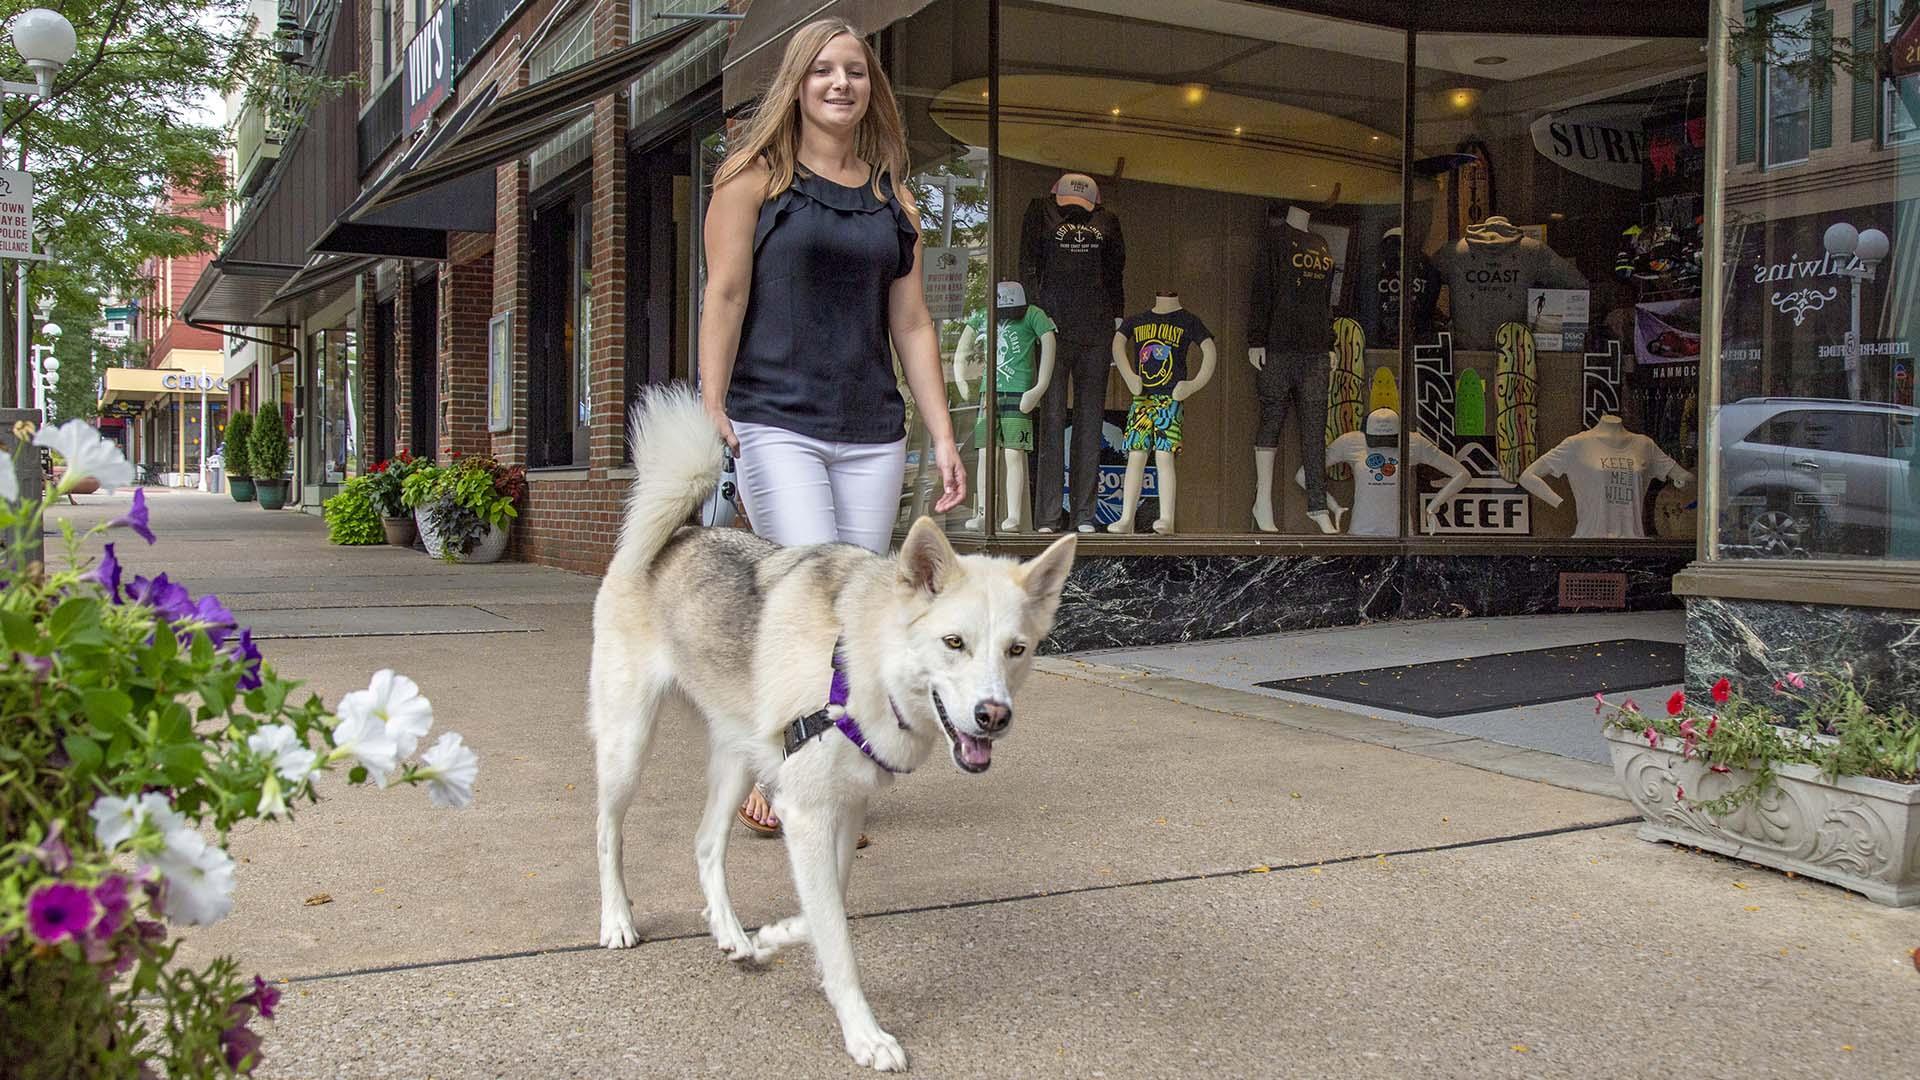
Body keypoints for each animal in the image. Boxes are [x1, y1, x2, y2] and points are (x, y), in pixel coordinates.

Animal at [595, 382, 1082, 1060]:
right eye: (954, 642)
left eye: (1018, 650)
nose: (993, 716)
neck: (858, 662)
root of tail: (680, 533)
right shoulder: (805, 811)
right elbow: (837, 935)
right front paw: (864, 1032)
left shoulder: (843, 807)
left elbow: (828, 907)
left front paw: (776, 936)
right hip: (628, 744)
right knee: (608, 831)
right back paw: (618, 918)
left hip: (738, 761)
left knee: (705, 844)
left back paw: (732, 932)